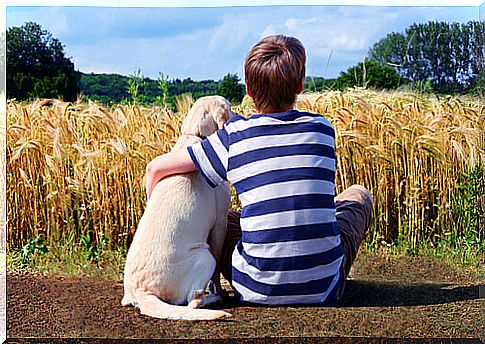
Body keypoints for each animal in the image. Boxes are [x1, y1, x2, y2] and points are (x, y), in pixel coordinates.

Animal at [122, 96, 233, 320]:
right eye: (229, 106)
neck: (194, 134)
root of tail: (141, 291)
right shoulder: (220, 223)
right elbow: (216, 273)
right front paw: (219, 290)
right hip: (204, 255)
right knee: (194, 302)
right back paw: (214, 299)